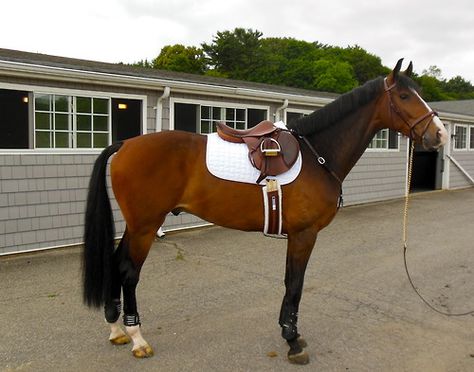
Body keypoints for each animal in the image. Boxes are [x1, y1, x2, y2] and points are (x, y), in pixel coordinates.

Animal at [82, 59, 448, 364]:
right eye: (404, 95)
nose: (440, 135)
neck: (317, 156)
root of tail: (126, 144)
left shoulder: (297, 236)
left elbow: (289, 281)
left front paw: (289, 333)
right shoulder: (304, 235)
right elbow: (295, 283)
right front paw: (293, 341)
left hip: (135, 226)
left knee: (116, 263)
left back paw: (116, 329)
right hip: (145, 226)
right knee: (129, 272)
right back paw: (137, 337)